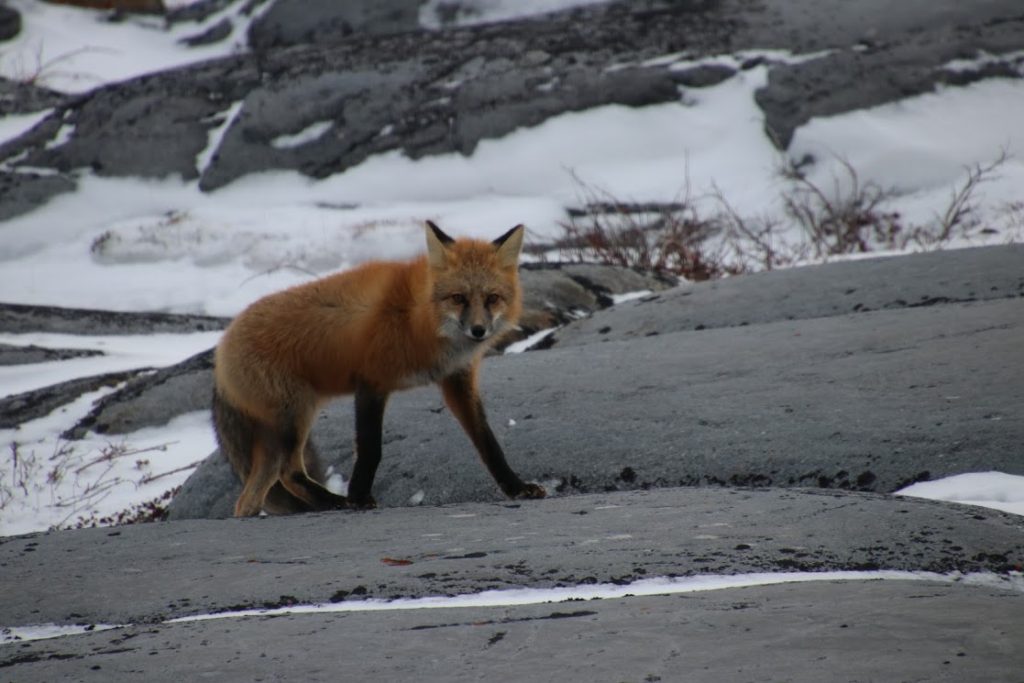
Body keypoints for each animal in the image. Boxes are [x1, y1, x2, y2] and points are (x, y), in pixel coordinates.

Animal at [211, 221, 546, 517]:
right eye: (458, 298)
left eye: (492, 298)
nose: (478, 331)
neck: (417, 319)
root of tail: (221, 347)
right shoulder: (372, 382)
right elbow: (371, 448)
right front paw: (358, 497)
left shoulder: (457, 381)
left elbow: (489, 444)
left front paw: (516, 488)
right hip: (295, 415)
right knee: (289, 473)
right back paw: (335, 502)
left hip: (282, 431)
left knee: (249, 498)